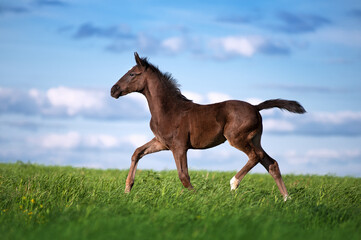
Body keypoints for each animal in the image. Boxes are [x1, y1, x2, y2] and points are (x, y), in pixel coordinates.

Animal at [109, 52, 304, 201]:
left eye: (132, 74)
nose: (113, 90)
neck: (168, 109)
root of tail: (256, 107)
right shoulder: (162, 143)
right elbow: (137, 152)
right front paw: (127, 190)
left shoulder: (179, 146)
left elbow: (183, 176)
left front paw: (198, 198)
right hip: (255, 139)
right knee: (271, 163)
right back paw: (286, 198)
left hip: (237, 138)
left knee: (255, 156)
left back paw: (234, 184)